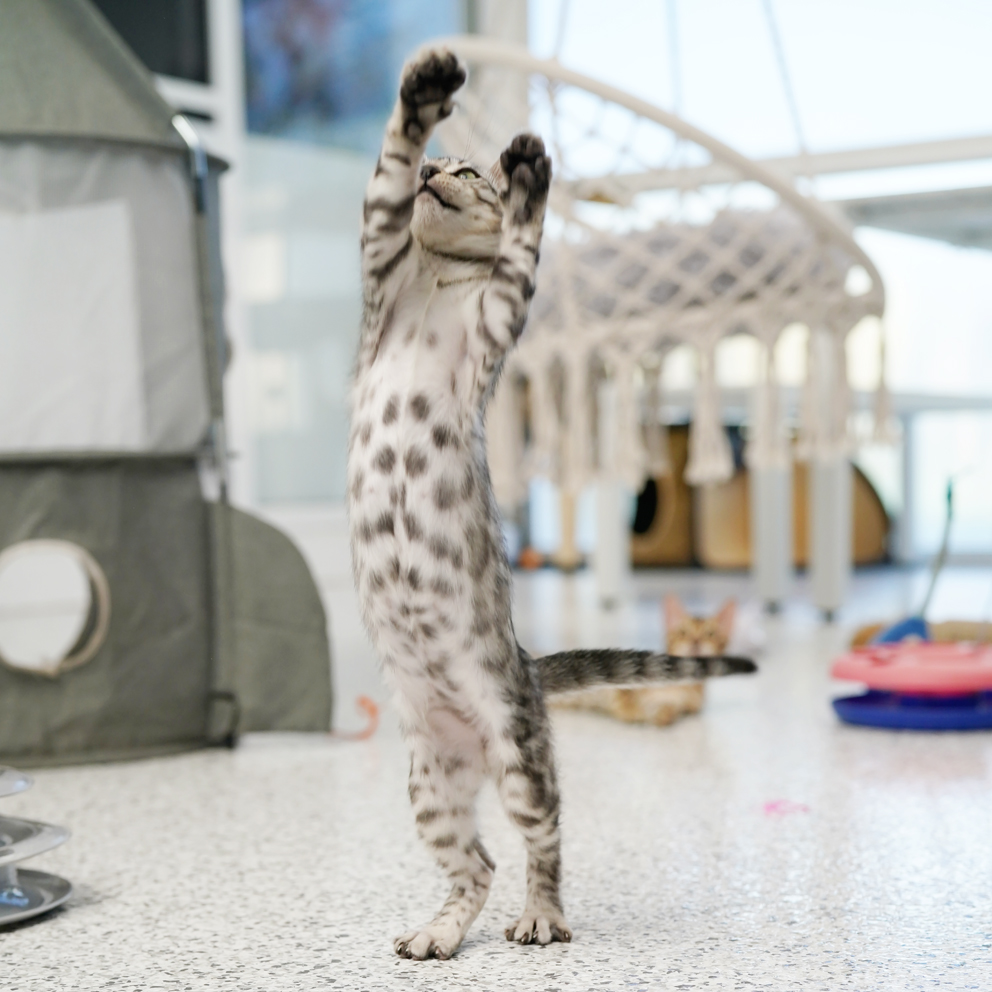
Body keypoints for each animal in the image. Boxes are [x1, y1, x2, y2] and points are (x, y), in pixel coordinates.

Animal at [552, 596, 736, 728]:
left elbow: (672, 709)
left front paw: (663, 713)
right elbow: (627, 703)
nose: (695, 641)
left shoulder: (688, 706)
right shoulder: (625, 686)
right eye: (683, 632)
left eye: (710, 634)